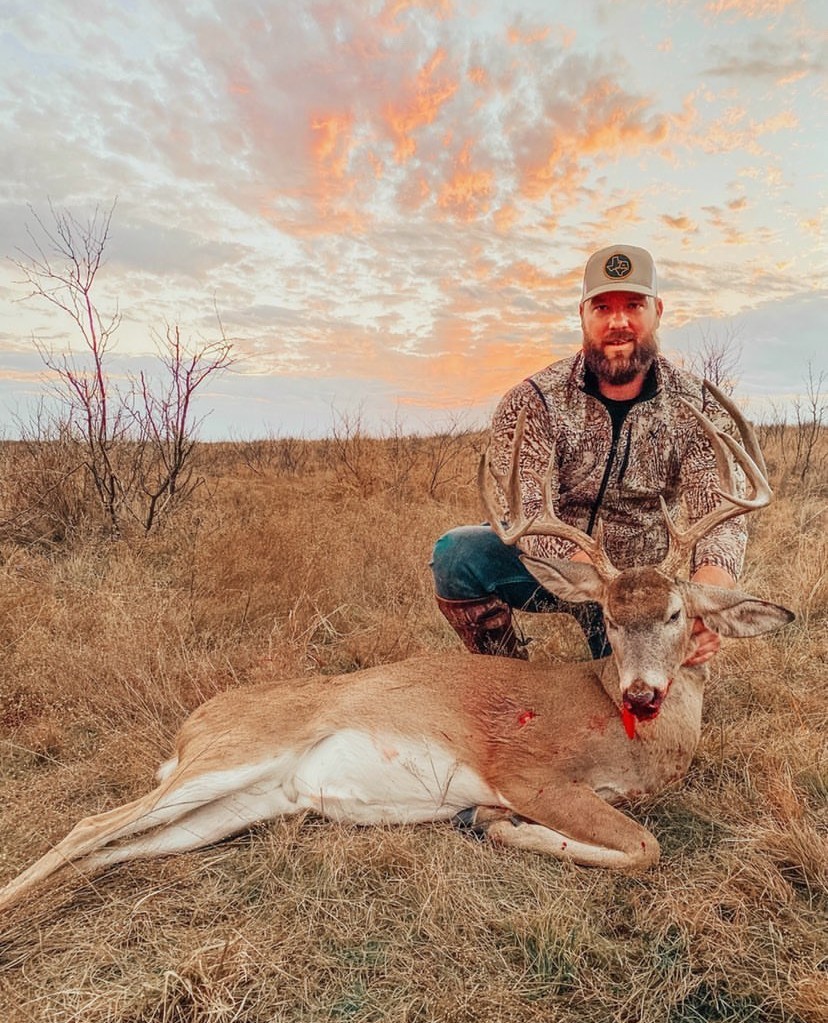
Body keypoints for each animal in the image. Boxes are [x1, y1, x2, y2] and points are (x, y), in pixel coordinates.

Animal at [0, 382, 794, 912]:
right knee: (88, 823)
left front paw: (491, 825)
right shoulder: (529, 771)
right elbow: (642, 847)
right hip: (233, 755)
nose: (641, 691)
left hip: (241, 802)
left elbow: (639, 845)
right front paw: (495, 824)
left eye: (676, 613)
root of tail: (192, 724)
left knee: (112, 847)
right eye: (607, 613)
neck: (628, 733)